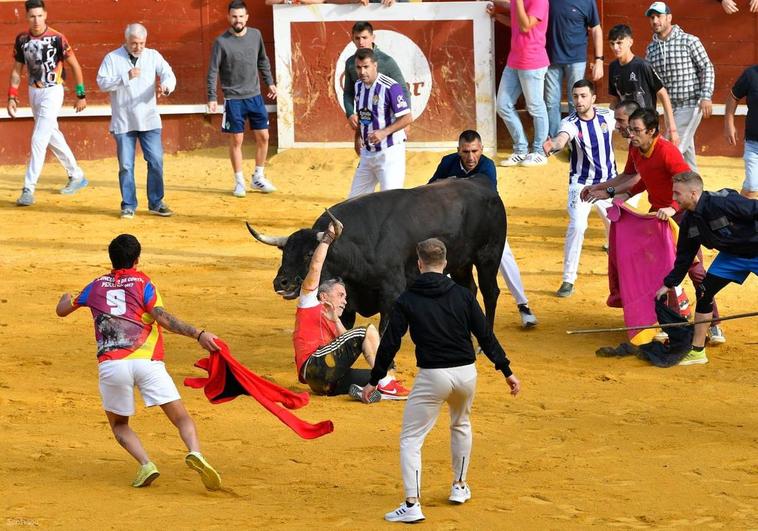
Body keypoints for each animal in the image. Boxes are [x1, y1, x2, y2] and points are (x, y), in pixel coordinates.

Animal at [249, 177, 508, 330]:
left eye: (310, 253)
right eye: (284, 253)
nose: (281, 282)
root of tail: (483, 185)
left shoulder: (391, 293)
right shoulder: (348, 301)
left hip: (489, 256)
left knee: (490, 291)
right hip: (461, 263)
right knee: (470, 288)